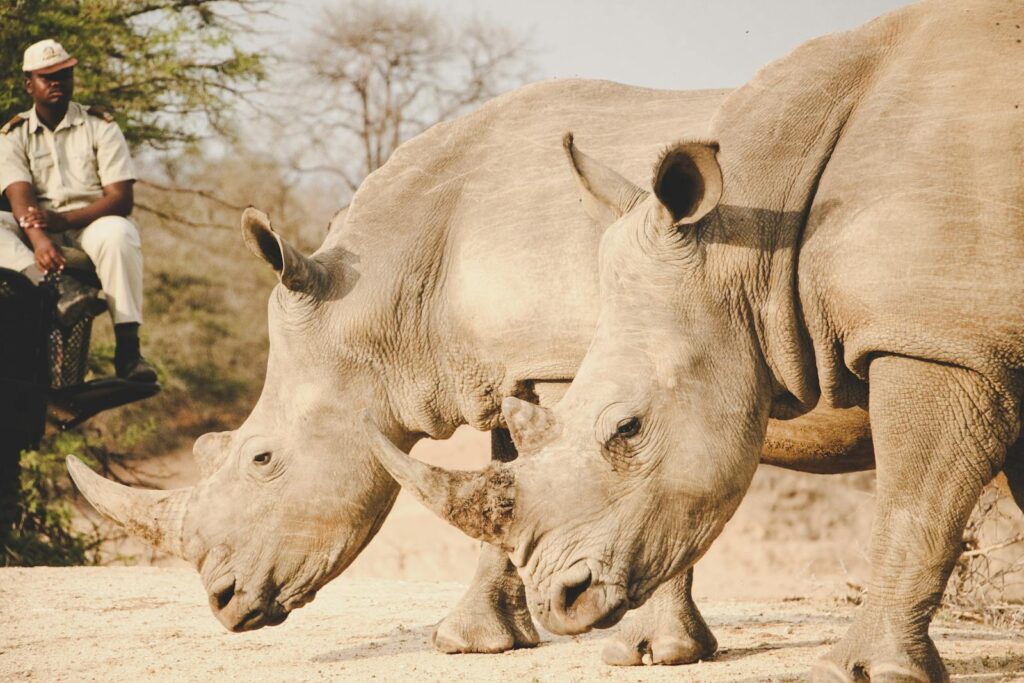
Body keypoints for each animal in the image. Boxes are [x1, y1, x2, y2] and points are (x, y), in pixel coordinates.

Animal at [68, 79, 872, 664]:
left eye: (262, 459)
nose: (222, 602)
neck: (389, 298)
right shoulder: (518, 366)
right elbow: (511, 474)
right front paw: (474, 642)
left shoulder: (601, 359)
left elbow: (641, 471)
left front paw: (650, 652)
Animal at [372, 1, 1024, 679]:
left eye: (628, 428)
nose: (561, 601)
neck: (759, 235)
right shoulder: (983, 339)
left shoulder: (936, 339)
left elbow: (914, 504)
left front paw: (864, 671)